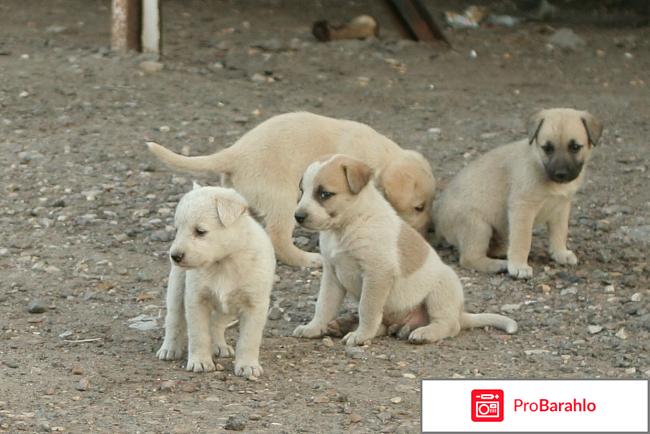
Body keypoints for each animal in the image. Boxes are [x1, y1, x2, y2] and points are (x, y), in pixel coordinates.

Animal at [144, 112, 432, 268]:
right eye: (419, 207)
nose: (427, 235)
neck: (380, 157)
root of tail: (235, 152)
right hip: (283, 200)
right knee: (279, 239)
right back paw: (307, 259)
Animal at [156, 183, 274, 376]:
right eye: (177, 229)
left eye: (200, 231)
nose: (175, 256)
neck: (224, 262)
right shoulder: (196, 299)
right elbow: (199, 334)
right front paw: (200, 362)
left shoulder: (255, 304)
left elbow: (249, 339)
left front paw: (248, 366)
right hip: (176, 288)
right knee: (174, 319)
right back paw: (169, 349)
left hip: (229, 308)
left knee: (216, 323)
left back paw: (219, 346)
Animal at [292, 154, 512, 344]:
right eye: (302, 191)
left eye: (324, 194)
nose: (298, 216)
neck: (349, 225)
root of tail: (461, 313)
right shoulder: (332, 275)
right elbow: (324, 305)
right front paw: (313, 327)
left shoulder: (377, 274)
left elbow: (367, 308)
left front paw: (361, 336)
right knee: (385, 325)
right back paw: (346, 325)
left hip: (441, 291)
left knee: (449, 325)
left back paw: (425, 333)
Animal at [432, 107, 600, 278]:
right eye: (547, 148)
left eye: (575, 147)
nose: (561, 174)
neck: (539, 164)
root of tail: (438, 223)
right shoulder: (523, 208)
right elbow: (523, 239)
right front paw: (519, 266)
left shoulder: (561, 208)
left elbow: (560, 233)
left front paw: (560, 253)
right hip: (478, 226)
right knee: (469, 258)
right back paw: (498, 265)